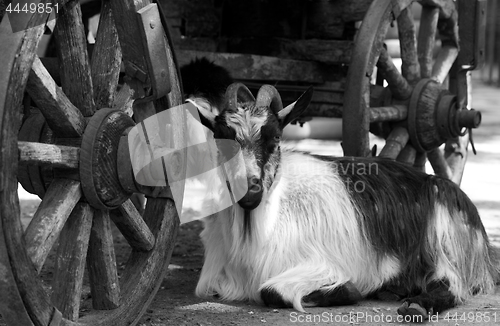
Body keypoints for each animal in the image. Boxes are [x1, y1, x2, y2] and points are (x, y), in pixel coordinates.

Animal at [189, 83, 498, 320]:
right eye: (220, 140)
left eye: (275, 138)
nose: (249, 192)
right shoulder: (214, 280)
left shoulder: (321, 263)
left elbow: (271, 291)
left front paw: (348, 291)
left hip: (445, 236)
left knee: (452, 285)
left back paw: (416, 305)